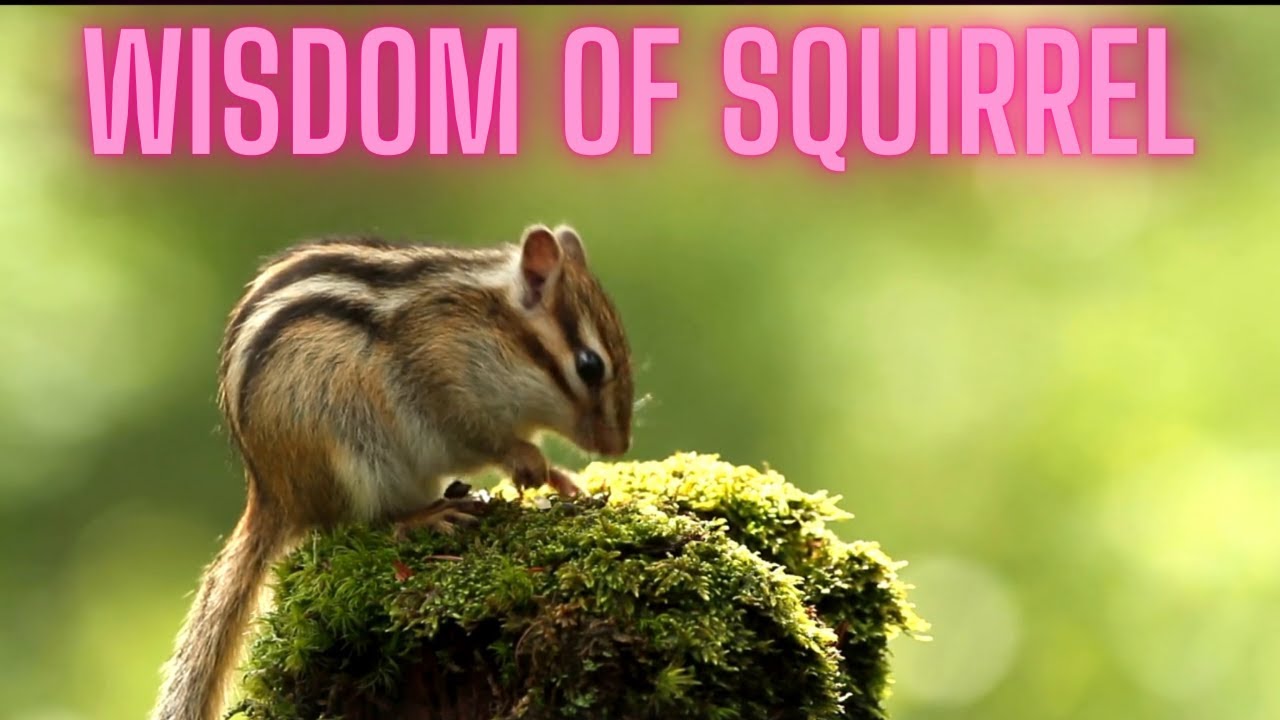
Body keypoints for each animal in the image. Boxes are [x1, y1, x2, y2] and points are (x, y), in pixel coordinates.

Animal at [149, 223, 634, 720]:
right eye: (590, 366)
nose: (618, 445)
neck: (492, 326)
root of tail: (272, 494)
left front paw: (561, 480)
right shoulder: (447, 390)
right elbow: (485, 442)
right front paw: (531, 463)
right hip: (352, 454)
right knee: (364, 525)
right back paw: (426, 516)